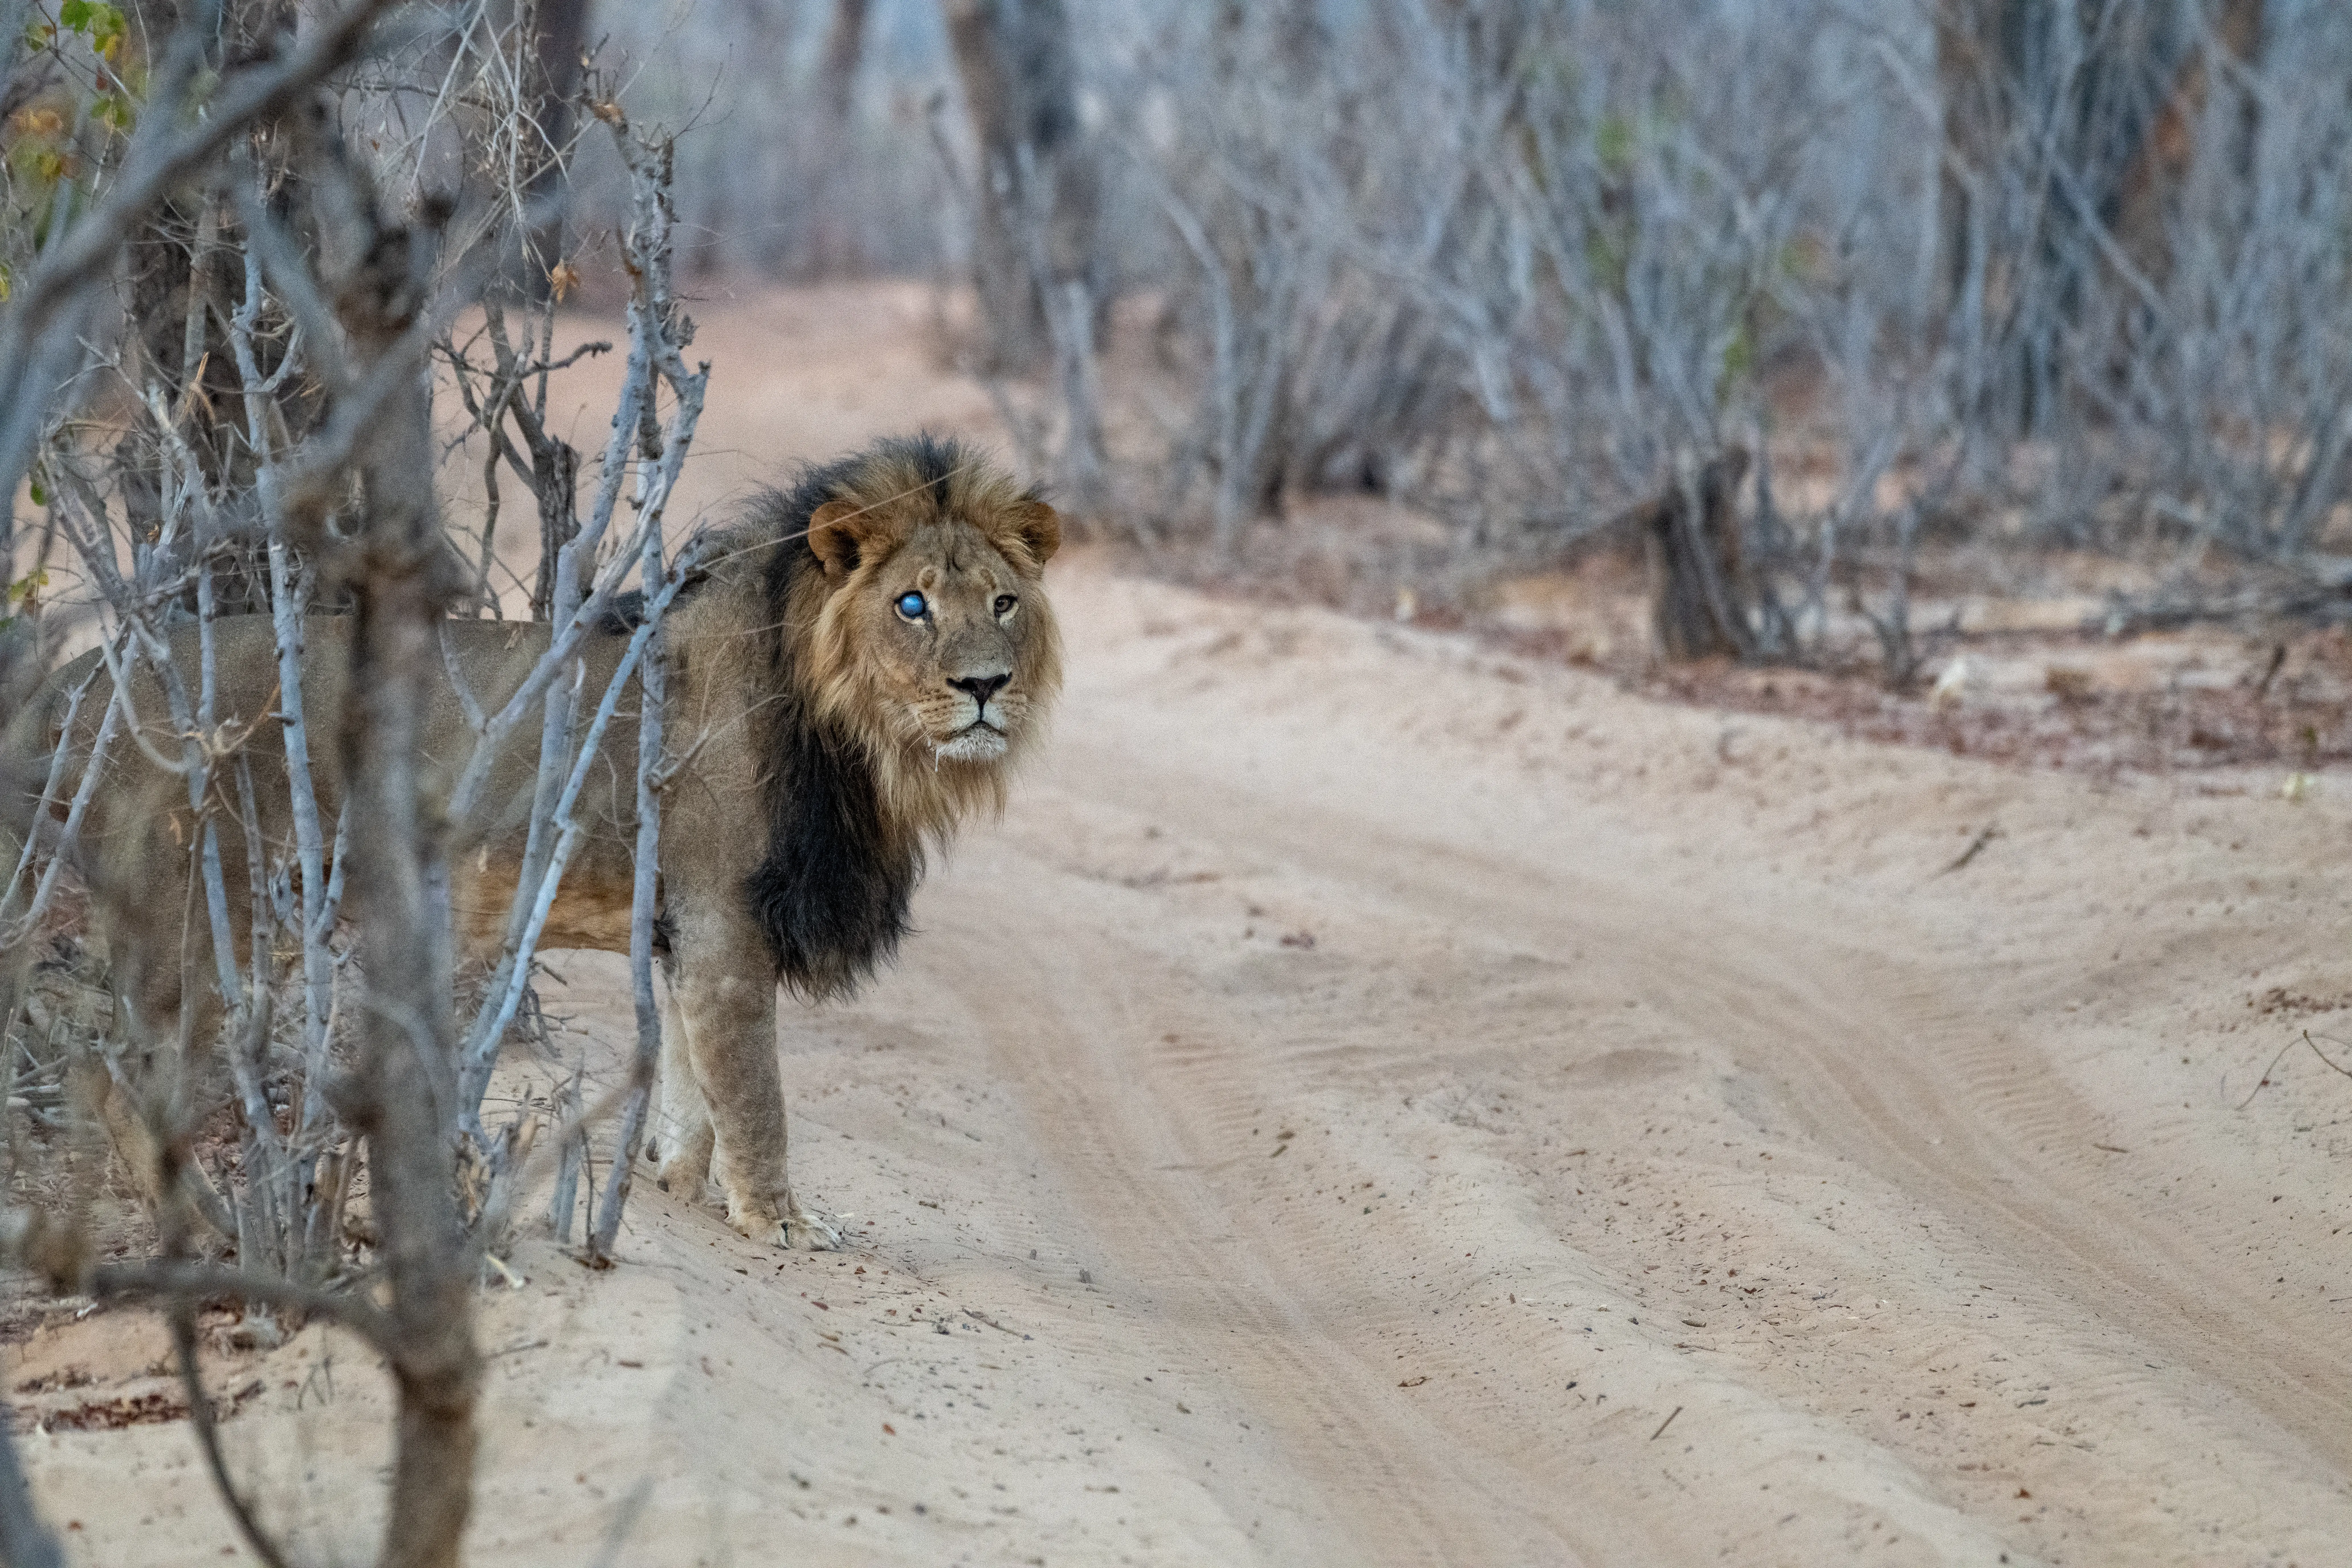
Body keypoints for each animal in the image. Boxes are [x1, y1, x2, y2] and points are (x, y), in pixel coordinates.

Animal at [0, 434, 1062, 1249]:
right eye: (912, 605)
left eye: (1002, 603)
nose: (984, 685)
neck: (863, 742)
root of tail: (82, 677)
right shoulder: (725, 918)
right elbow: (752, 1089)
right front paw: (782, 1222)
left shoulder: (683, 927)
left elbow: (688, 1080)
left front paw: (678, 1186)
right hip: (196, 910)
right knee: (114, 1062)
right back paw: (213, 1223)